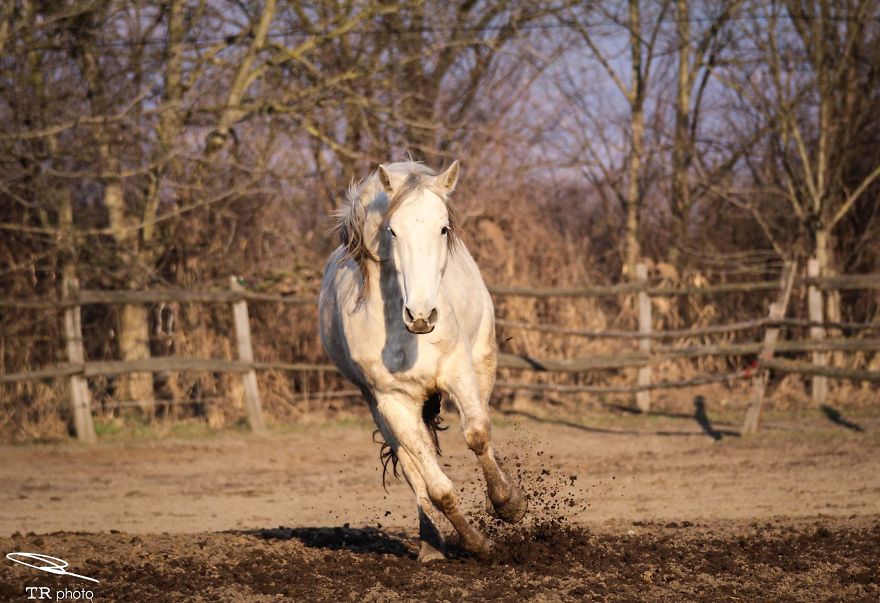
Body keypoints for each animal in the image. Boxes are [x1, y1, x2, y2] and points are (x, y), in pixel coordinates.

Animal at [318, 160, 527, 561]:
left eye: (443, 228)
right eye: (393, 230)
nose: (420, 315)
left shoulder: (457, 371)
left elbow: (477, 434)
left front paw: (509, 504)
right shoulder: (392, 402)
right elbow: (436, 486)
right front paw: (477, 544)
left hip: (482, 363)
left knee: (481, 424)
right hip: (382, 410)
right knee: (415, 466)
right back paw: (430, 545)